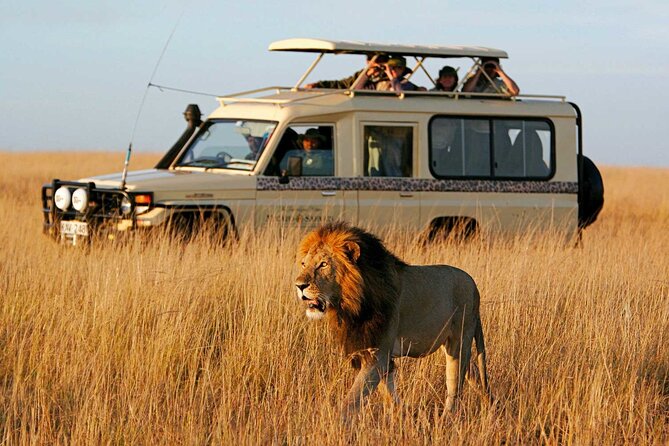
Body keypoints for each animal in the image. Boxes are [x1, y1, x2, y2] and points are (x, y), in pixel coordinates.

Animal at [295, 221, 489, 415]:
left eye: (323, 264)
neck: (353, 304)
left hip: (460, 339)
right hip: (451, 344)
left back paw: (447, 417)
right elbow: (388, 393)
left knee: (455, 385)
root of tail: (474, 286)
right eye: (304, 264)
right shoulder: (370, 351)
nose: (299, 285)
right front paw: (402, 414)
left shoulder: (379, 353)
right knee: (474, 373)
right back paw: (491, 404)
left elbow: (352, 399)